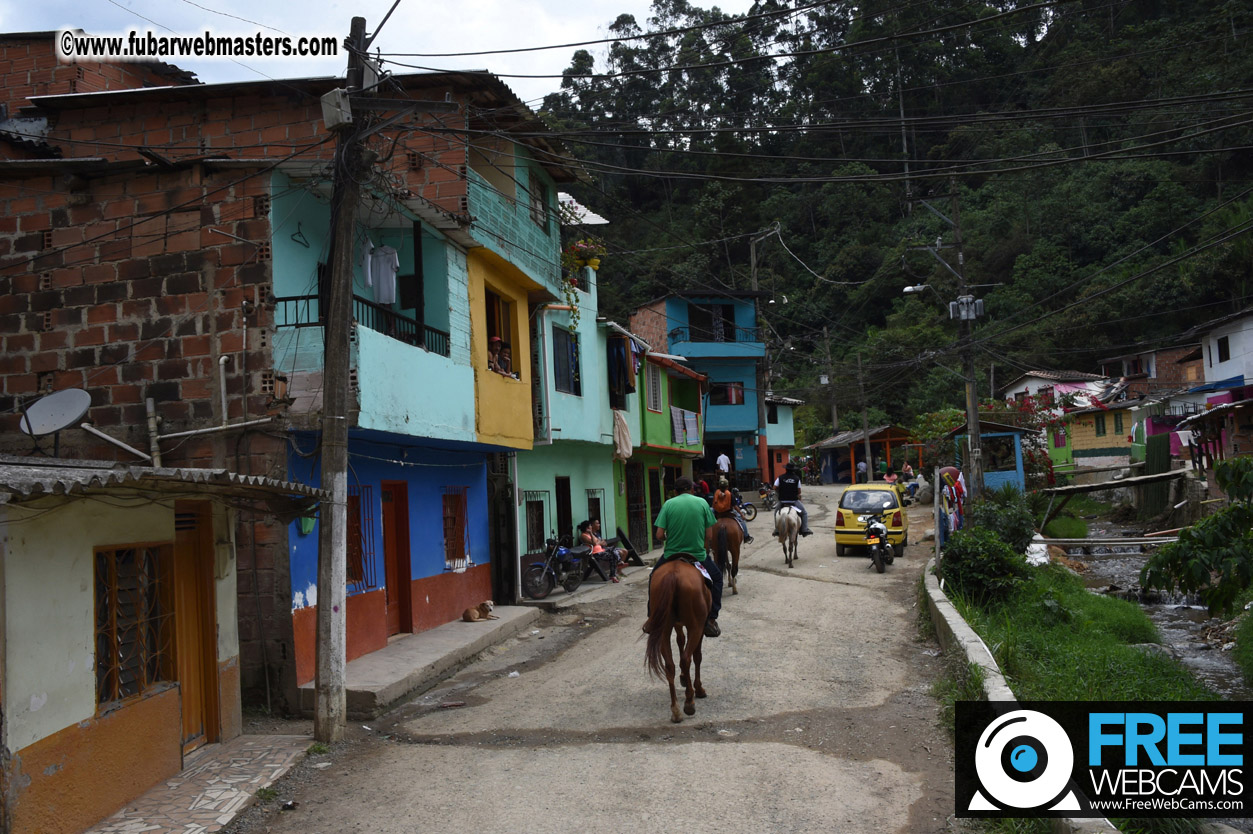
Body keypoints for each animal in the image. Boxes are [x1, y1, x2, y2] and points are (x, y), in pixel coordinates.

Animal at [646, 558, 706, 721]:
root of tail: (672, 575)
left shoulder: (677, 625)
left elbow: (680, 641)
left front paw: (684, 677)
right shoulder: (699, 628)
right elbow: (697, 656)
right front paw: (698, 688)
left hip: (663, 629)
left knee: (669, 665)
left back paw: (676, 710)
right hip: (696, 626)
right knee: (686, 658)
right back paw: (689, 702)